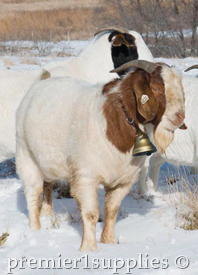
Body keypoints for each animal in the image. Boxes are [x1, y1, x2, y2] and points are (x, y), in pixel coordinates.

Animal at [15, 59, 186, 252]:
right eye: (156, 88)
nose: (179, 117)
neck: (118, 121)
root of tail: (39, 84)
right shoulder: (86, 177)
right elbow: (91, 213)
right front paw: (89, 249)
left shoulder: (123, 180)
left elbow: (111, 210)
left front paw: (109, 241)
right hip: (26, 157)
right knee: (32, 193)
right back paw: (35, 229)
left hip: (49, 163)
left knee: (48, 185)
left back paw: (46, 214)